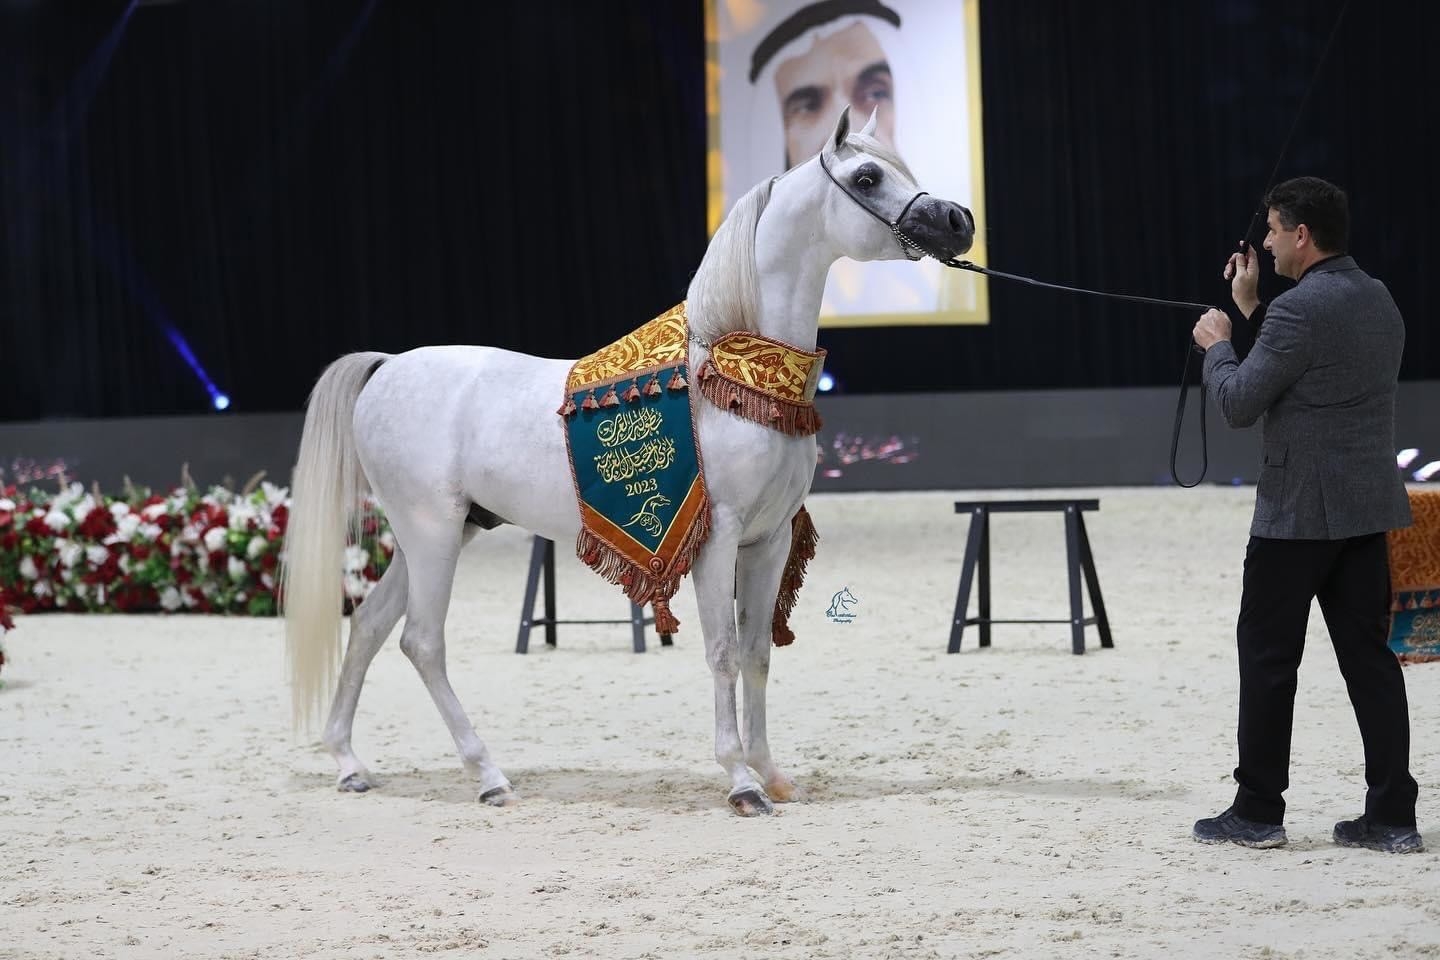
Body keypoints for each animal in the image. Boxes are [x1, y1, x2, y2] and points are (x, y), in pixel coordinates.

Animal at [281, 106, 974, 816]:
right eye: (867, 177)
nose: (957, 220)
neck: (731, 374)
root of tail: (388, 366)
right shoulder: (715, 538)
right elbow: (722, 651)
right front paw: (742, 782)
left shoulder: (769, 540)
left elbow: (756, 652)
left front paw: (772, 774)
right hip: (432, 532)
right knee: (421, 640)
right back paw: (488, 775)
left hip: (437, 534)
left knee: (368, 624)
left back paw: (349, 763)